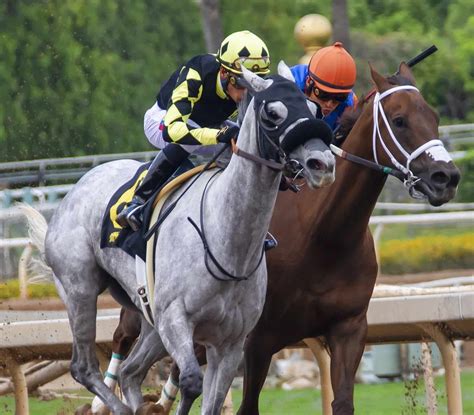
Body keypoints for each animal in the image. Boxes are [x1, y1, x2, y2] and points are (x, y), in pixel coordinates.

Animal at [21, 62, 334, 415]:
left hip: (149, 319)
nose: (322, 164)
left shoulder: (229, 343)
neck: (226, 240)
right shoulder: (176, 321)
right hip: (80, 290)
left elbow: (211, 401)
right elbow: (190, 383)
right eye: (272, 113)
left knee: (130, 372)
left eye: (314, 109)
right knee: (84, 367)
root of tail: (77, 188)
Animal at [89, 62, 460, 415]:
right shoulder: (258, 340)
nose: (446, 177)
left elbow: (342, 403)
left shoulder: (349, 330)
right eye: (399, 120)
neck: (322, 237)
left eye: (434, 117)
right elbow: (247, 406)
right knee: (123, 343)